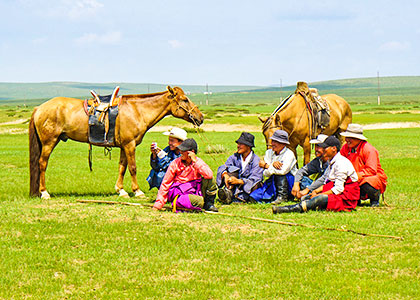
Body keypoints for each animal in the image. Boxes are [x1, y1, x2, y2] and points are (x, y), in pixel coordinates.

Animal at [28, 85, 203, 199]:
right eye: (185, 99)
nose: (200, 117)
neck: (137, 111)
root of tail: (39, 108)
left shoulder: (124, 146)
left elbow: (122, 168)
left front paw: (121, 190)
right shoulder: (130, 145)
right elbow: (132, 168)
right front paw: (137, 191)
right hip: (49, 142)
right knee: (42, 163)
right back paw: (44, 193)